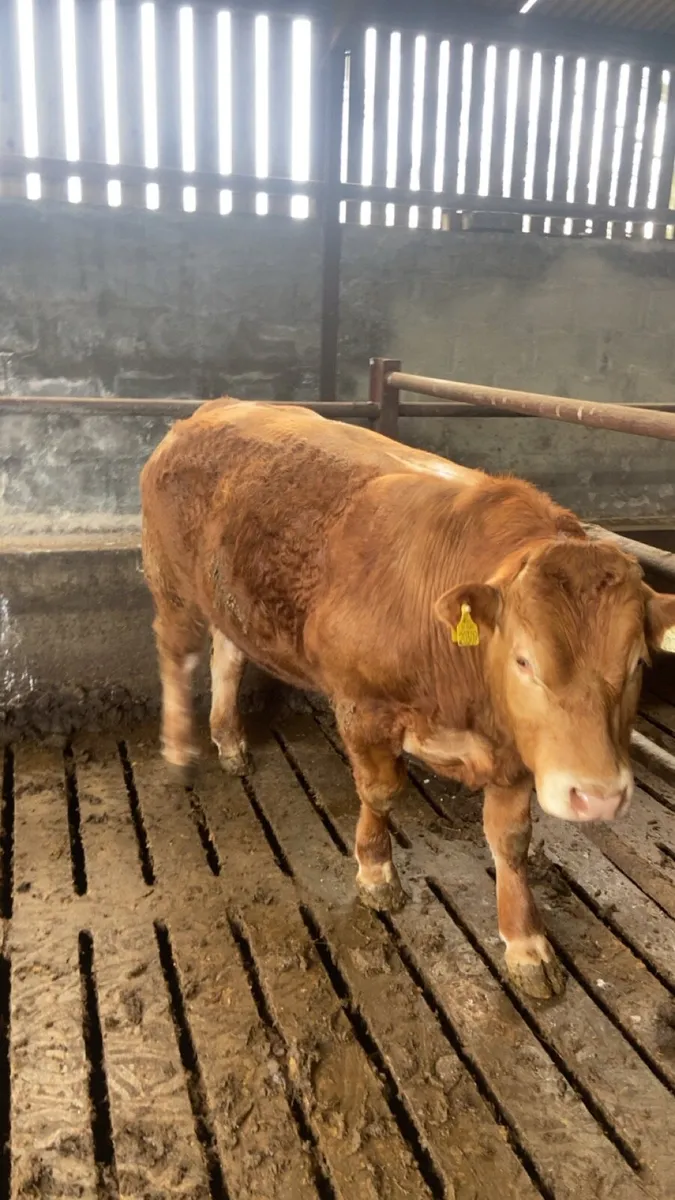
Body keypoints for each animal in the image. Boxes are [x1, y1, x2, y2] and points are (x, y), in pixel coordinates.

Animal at [140, 399, 675, 999]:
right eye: (524, 660)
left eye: (637, 663)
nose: (598, 797)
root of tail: (209, 410)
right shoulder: (363, 707)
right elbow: (380, 791)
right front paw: (376, 873)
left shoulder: (517, 748)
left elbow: (511, 840)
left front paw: (526, 944)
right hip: (170, 581)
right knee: (178, 657)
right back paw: (181, 751)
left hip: (227, 597)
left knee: (228, 658)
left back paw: (230, 742)